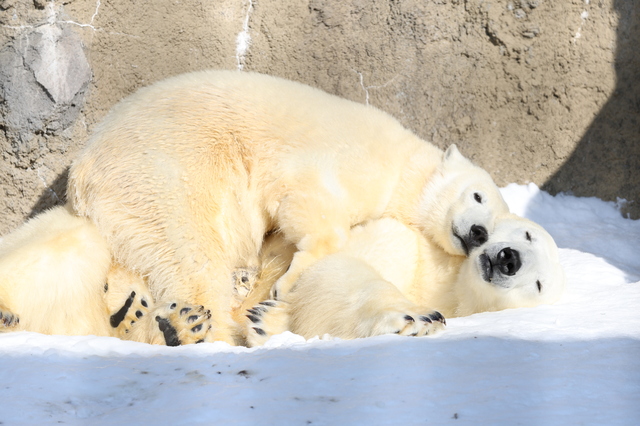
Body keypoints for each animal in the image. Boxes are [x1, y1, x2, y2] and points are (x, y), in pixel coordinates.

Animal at [244, 213, 564, 346]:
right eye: (527, 235)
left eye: (538, 285)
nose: (510, 260)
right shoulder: (411, 245)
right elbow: (346, 264)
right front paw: (418, 317)